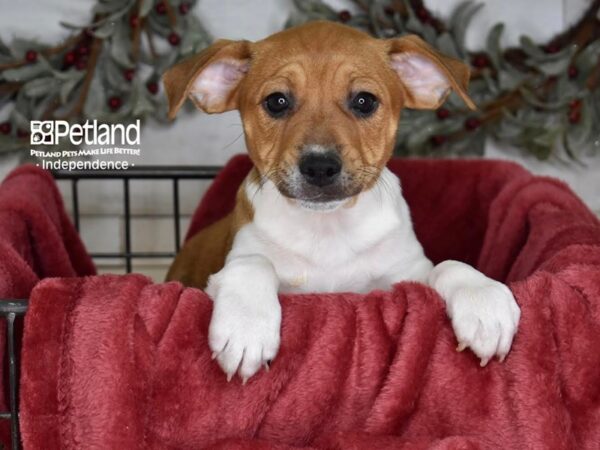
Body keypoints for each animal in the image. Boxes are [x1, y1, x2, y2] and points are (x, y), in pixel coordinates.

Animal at [163, 22, 520, 384]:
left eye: (364, 101)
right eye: (276, 102)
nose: (320, 166)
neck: (328, 229)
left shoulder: (407, 276)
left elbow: (449, 265)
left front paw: (483, 300)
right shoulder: (231, 268)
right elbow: (253, 263)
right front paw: (246, 325)